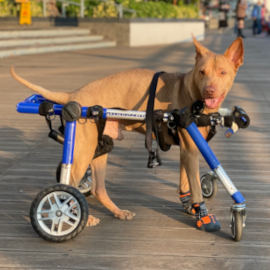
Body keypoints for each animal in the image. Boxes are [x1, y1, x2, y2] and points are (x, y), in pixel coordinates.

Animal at [10, 36, 244, 230]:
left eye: (222, 72)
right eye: (202, 72)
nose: (209, 91)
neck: (195, 96)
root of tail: (73, 95)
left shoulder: (188, 150)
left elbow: (185, 181)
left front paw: (190, 205)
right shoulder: (190, 149)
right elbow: (195, 185)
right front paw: (203, 215)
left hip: (99, 149)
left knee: (98, 188)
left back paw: (117, 212)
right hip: (83, 151)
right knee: (67, 185)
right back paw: (73, 214)